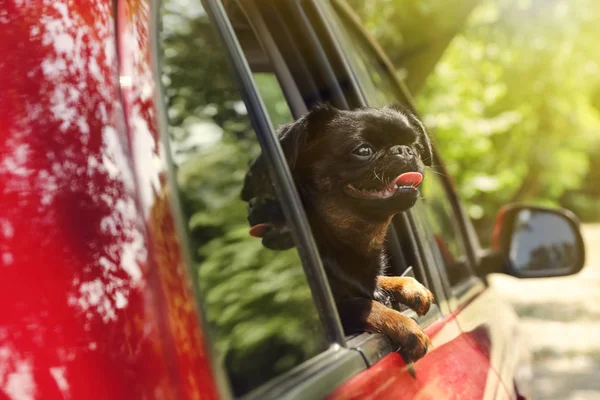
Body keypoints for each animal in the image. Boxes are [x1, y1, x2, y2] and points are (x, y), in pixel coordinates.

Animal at [241, 104, 434, 362]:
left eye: (415, 145)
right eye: (363, 150)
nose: (404, 150)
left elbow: (375, 282)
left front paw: (407, 285)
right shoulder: (341, 310)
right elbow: (362, 304)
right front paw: (403, 324)